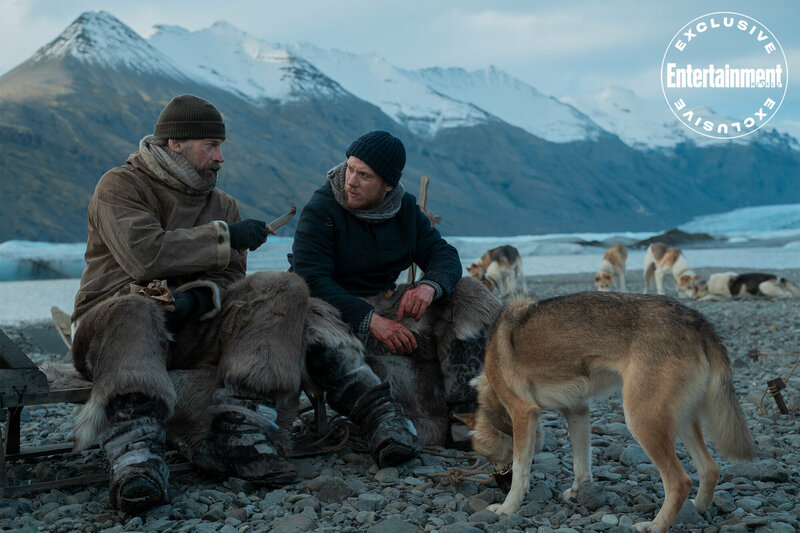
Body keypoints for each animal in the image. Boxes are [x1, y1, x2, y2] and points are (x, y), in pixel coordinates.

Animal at [464, 292, 755, 533]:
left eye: (489, 458)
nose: (497, 483)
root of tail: (695, 320)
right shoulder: (577, 410)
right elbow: (582, 463)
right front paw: (578, 492)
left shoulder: (524, 414)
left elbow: (521, 471)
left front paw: (507, 507)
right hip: (680, 420)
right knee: (710, 469)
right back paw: (697, 509)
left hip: (642, 421)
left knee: (680, 481)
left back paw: (656, 525)